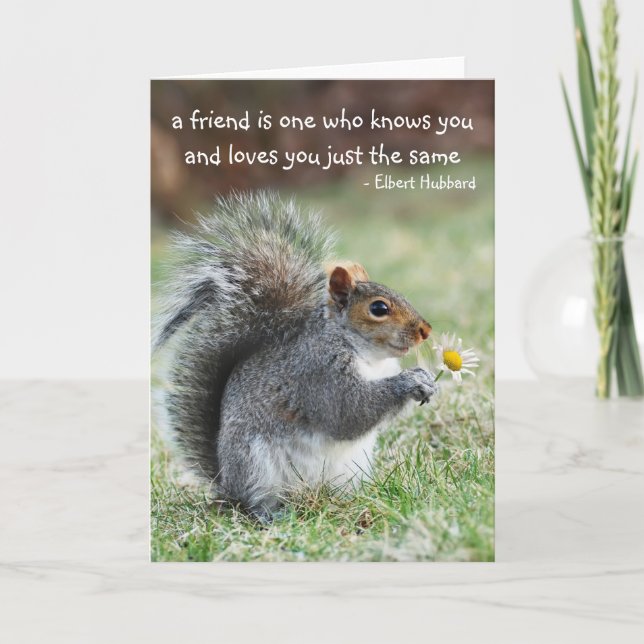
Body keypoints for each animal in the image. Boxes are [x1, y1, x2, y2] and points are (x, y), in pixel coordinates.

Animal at [153, 191, 437, 520]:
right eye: (379, 308)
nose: (425, 330)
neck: (368, 356)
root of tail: (225, 482)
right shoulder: (318, 371)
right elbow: (349, 412)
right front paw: (409, 381)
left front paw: (427, 379)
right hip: (256, 465)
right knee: (254, 502)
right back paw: (271, 515)